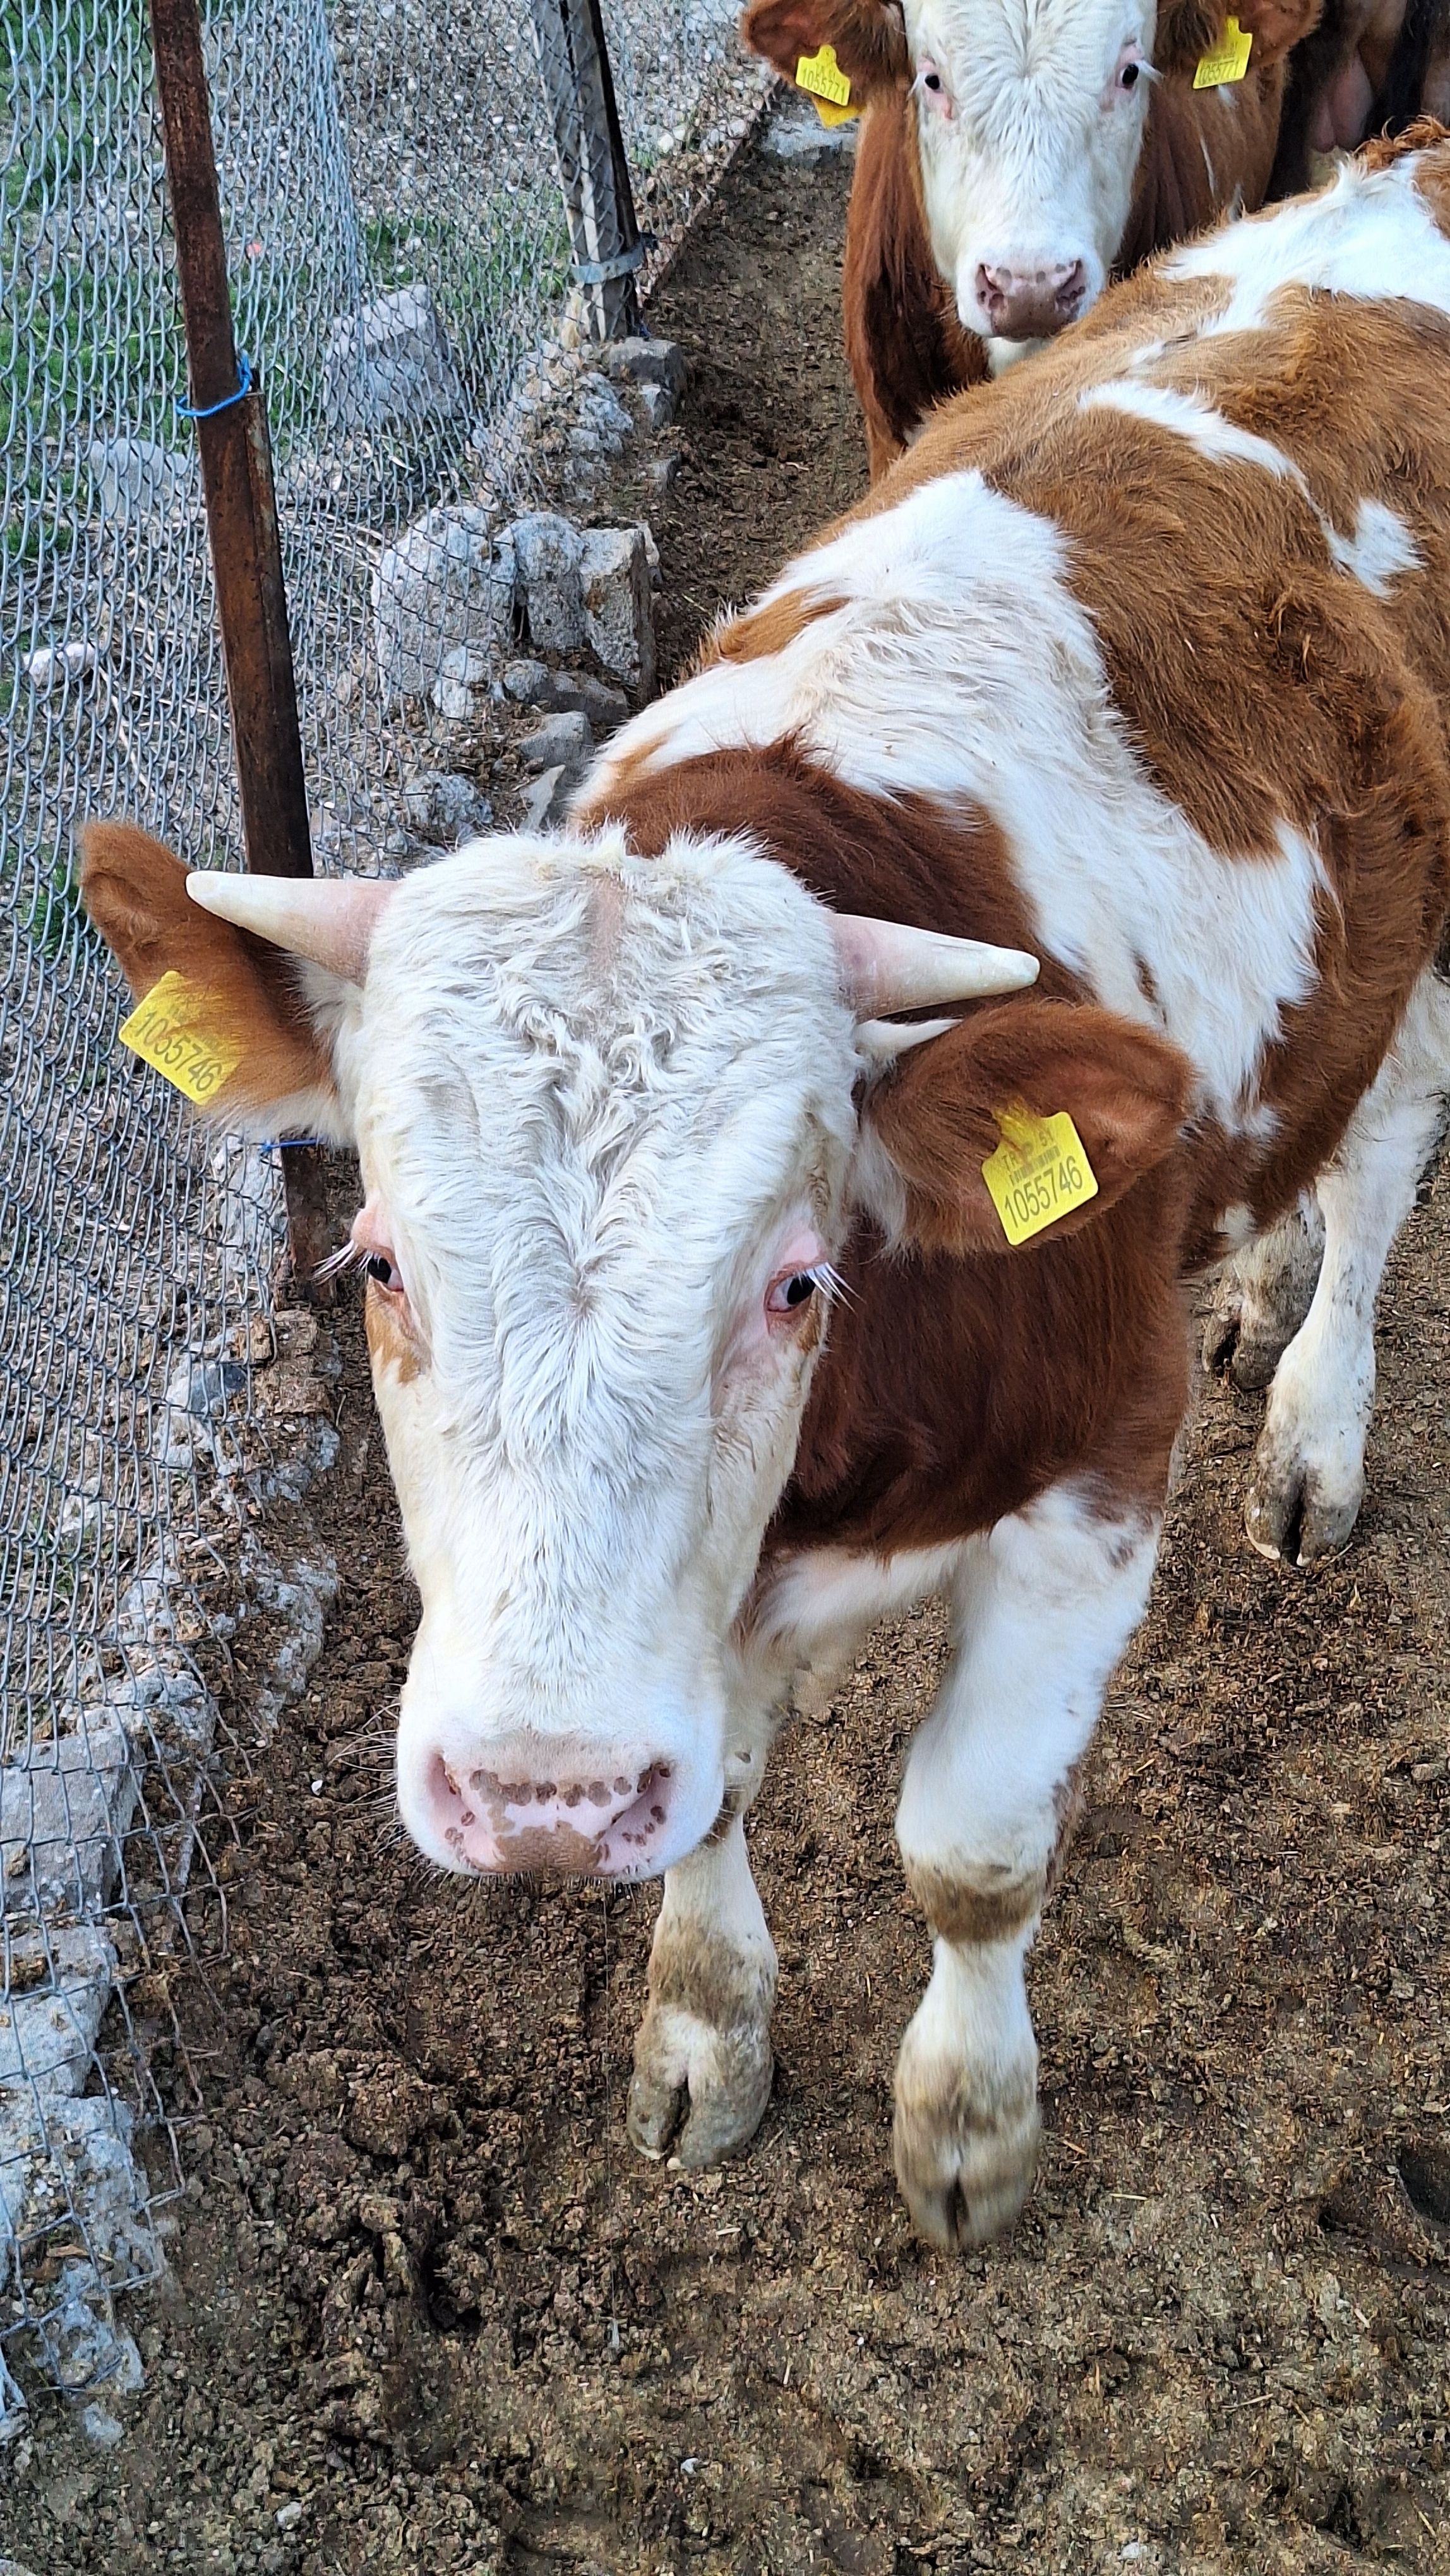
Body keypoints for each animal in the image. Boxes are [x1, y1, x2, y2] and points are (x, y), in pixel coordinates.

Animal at [81, 127, 1450, 2248]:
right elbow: (710, 1808)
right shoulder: (684, 1645)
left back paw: (1313, 1426)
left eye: (799, 1281)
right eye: (377, 1265)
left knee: (1383, 1177)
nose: (536, 1793)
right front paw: (702, 2042)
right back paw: (1253, 1284)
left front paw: (968, 2127)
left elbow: (971, 1852)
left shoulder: (1094, 1476)